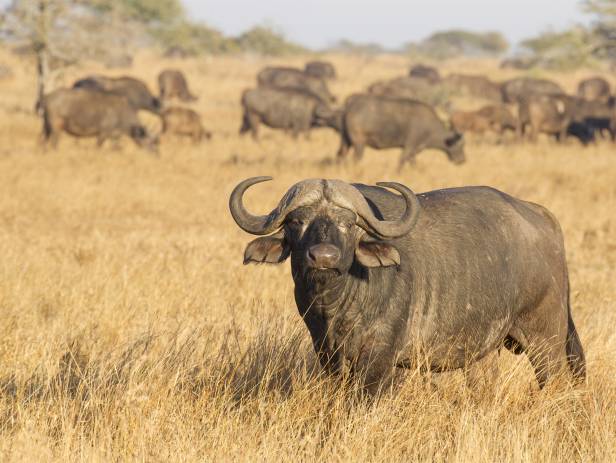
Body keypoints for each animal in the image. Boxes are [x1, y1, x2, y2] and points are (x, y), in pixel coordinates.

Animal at [230, 178, 588, 396]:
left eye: (348, 224)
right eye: (296, 222)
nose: (323, 257)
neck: (336, 305)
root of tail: (542, 217)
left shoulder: (379, 358)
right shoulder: (328, 355)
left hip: (546, 338)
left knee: (555, 380)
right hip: (485, 349)